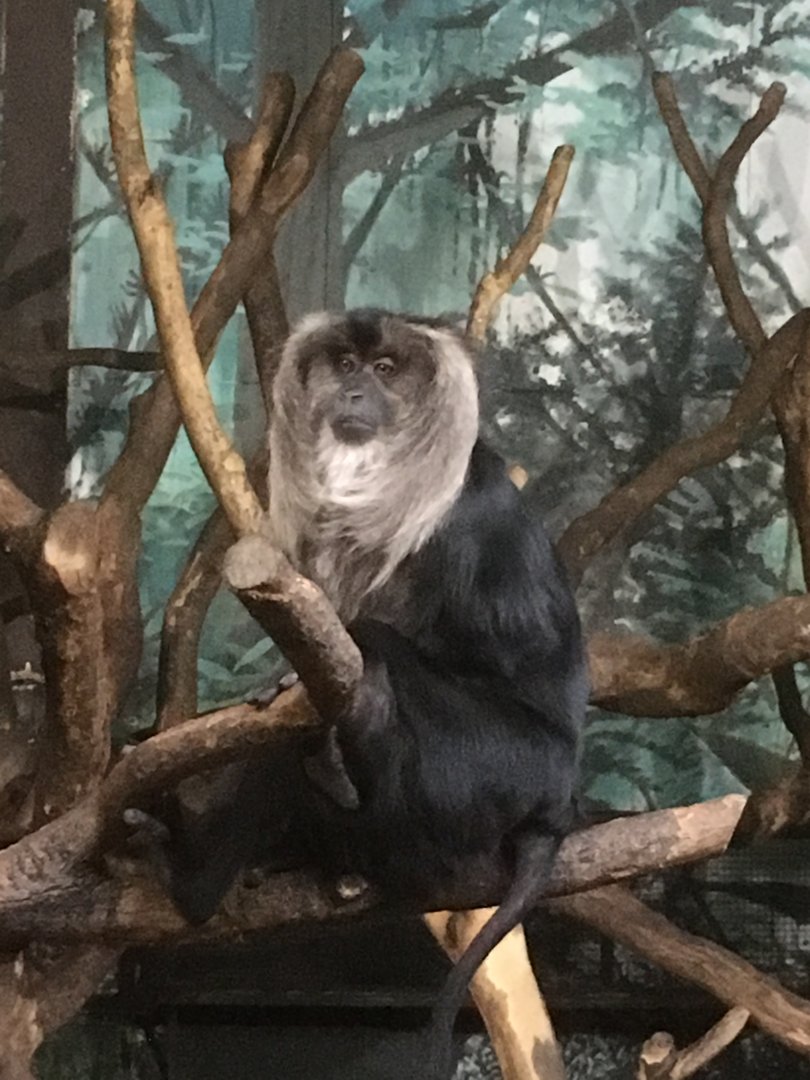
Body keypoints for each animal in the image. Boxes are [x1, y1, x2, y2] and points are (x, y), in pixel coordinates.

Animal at [148, 309, 588, 1079]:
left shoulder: (474, 514)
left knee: (378, 670)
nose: (354, 393)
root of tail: (554, 813)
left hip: (502, 780)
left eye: (386, 370)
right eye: (346, 365)